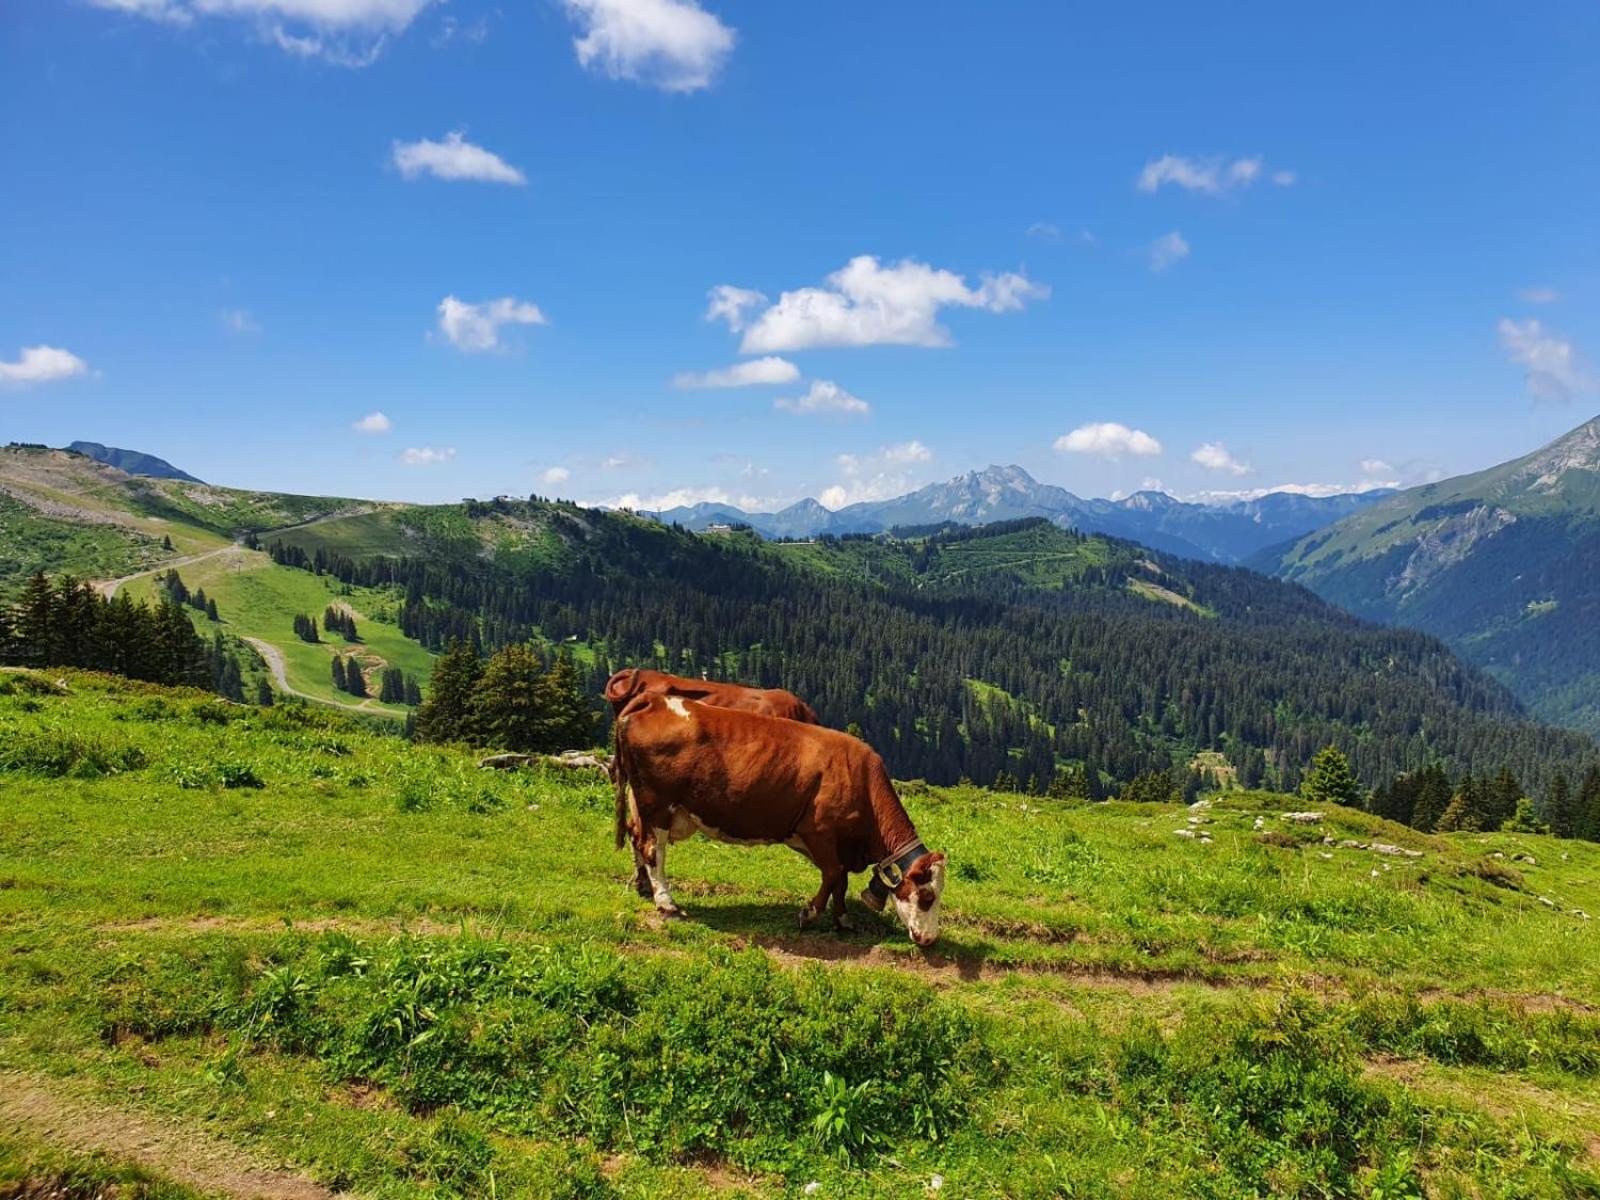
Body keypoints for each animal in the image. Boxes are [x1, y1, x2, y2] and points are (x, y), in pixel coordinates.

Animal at [604, 694, 940, 947]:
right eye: (927, 896)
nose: (929, 939)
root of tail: (654, 700)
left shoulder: (835, 843)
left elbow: (841, 881)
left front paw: (843, 920)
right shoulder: (818, 831)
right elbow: (833, 874)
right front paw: (809, 914)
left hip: (641, 801)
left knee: (635, 835)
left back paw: (643, 886)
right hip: (657, 803)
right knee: (652, 849)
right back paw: (667, 904)